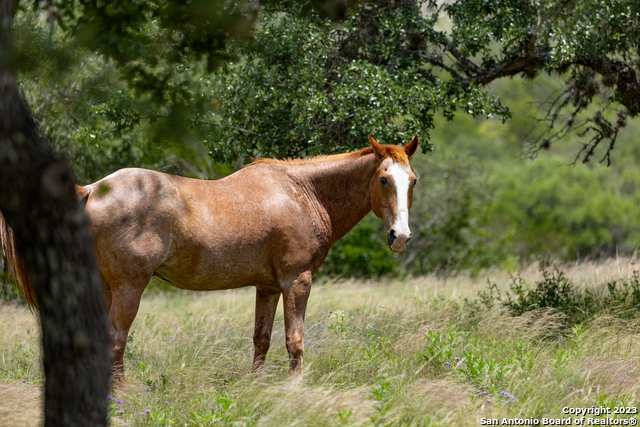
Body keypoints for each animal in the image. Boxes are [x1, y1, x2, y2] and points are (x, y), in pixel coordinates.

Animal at [2, 135, 420, 382]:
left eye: (412, 179)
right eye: (384, 179)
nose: (400, 237)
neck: (302, 192)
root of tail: (92, 189)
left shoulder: (267, 287)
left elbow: (262, 340)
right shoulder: (296, 282)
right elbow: (295, 340)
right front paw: (296, 387)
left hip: (105, 287)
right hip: (128, 289)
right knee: (116, 341)